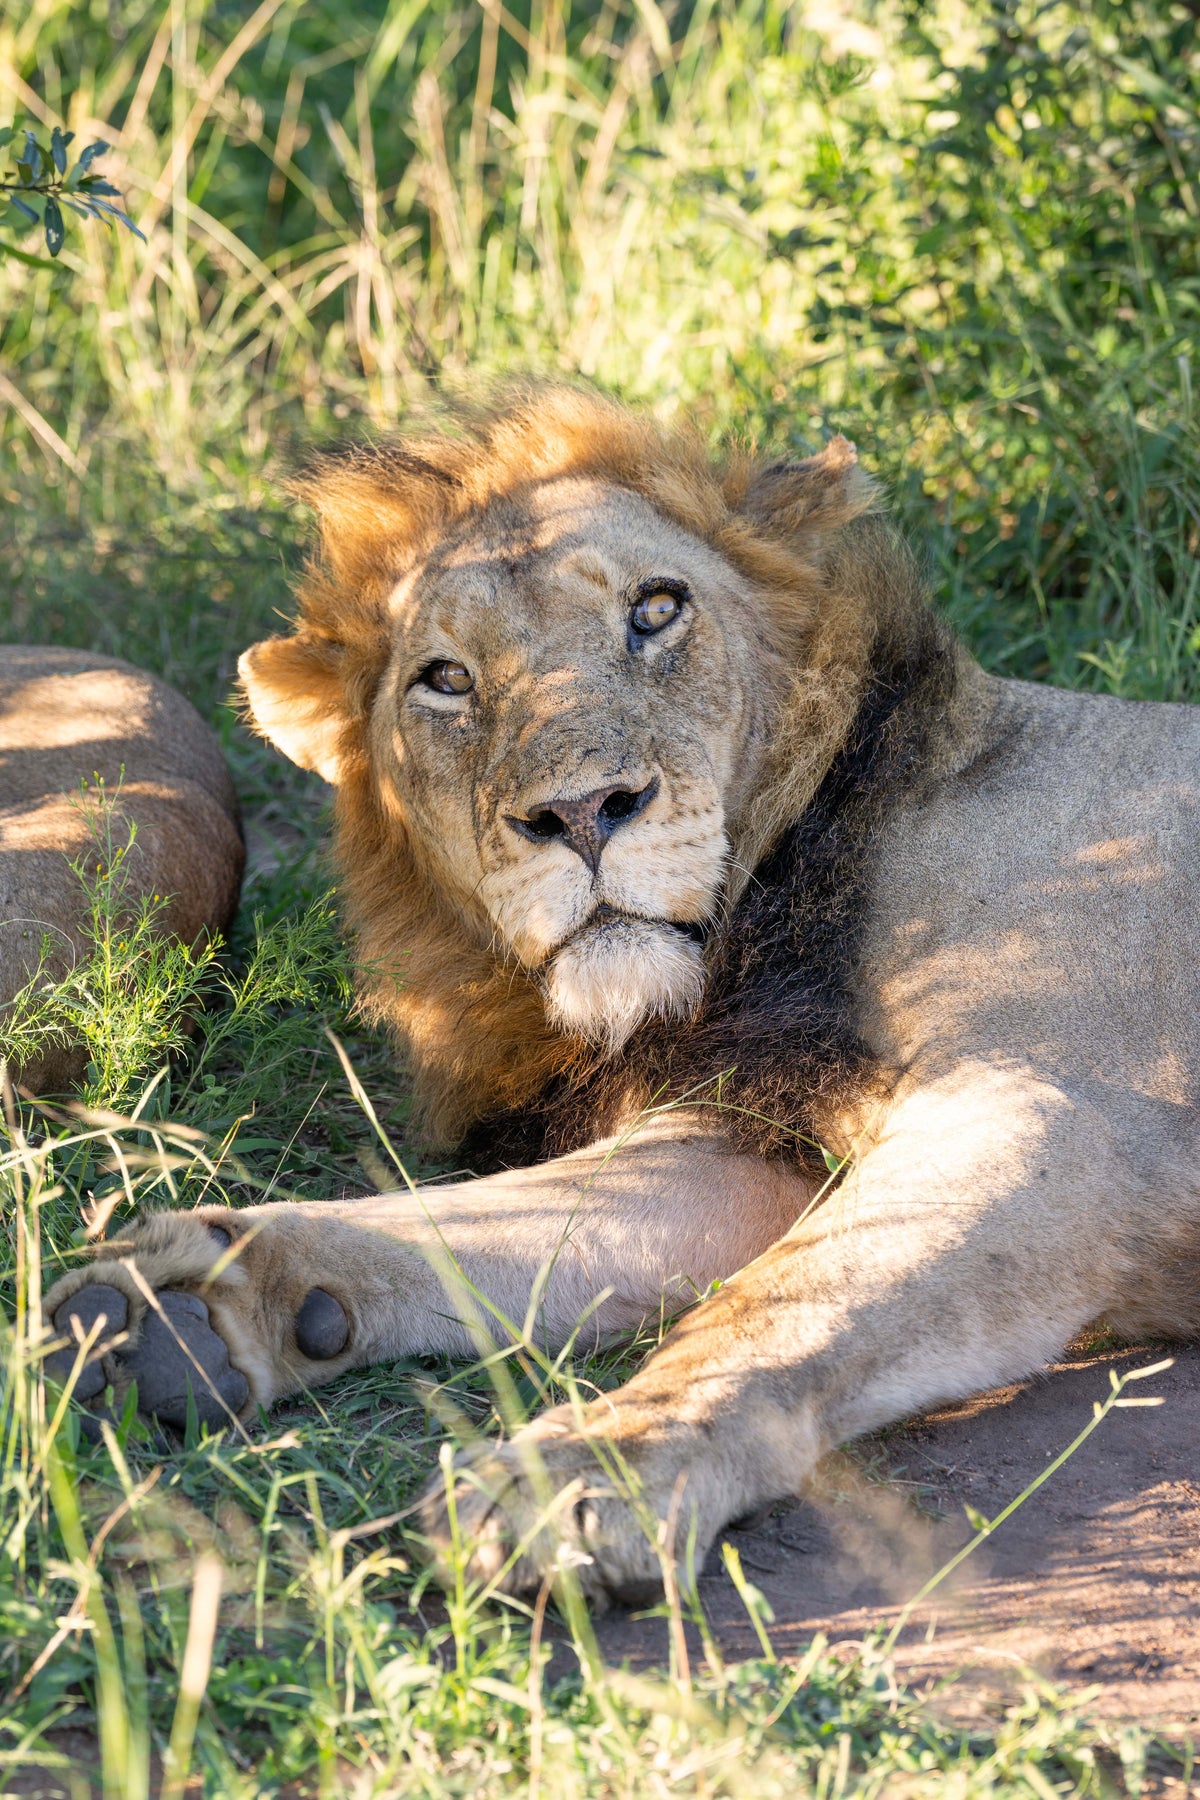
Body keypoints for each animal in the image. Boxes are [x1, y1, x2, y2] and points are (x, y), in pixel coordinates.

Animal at [42, 384, 1200, 1603]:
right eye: (445, 678)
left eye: (655, 609)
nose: (582, 811)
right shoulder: (740, 1137)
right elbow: (482, 1222)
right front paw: (176, 1303)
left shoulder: (1051, 1114)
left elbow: (773, 1311)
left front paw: (578, 1476)